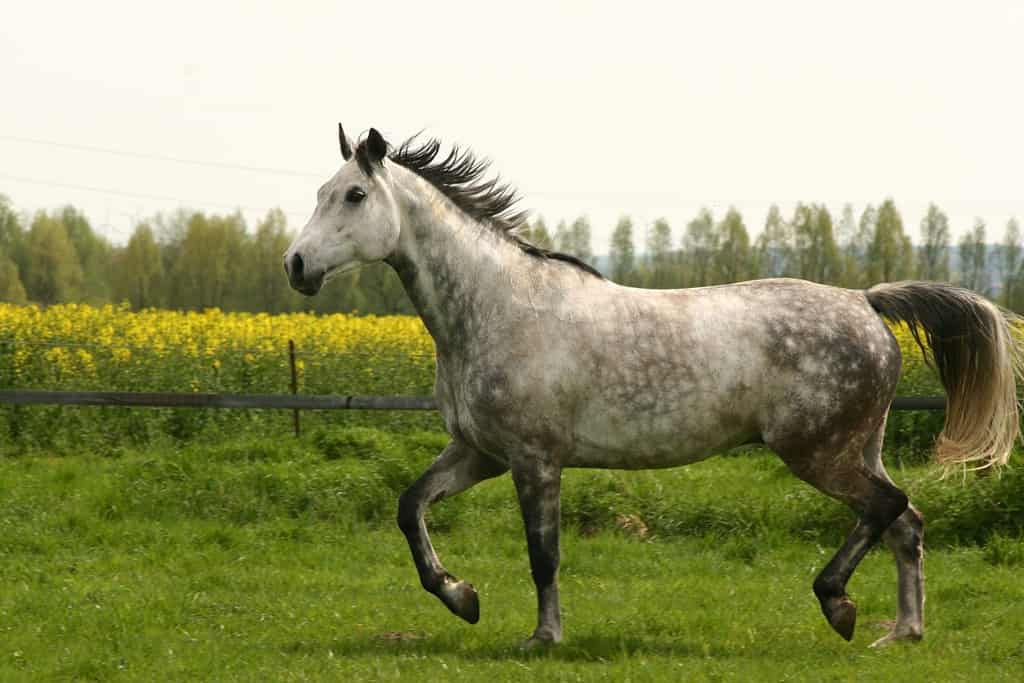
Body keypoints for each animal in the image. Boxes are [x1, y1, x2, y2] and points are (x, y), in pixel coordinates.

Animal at [282, 124, 1024, 651]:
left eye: (353, 195)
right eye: (320, 192)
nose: (295, 265)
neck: (497, 307)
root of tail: (865, 301)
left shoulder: (534, 459)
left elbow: (543, 554)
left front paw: (542, 637)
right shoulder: (480, 453)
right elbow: (411, 507)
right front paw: (461, 597)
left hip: (818, 452)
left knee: (887, 508)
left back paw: (838, 603)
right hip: (857, 447)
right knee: (906, 523)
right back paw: (900, 632)